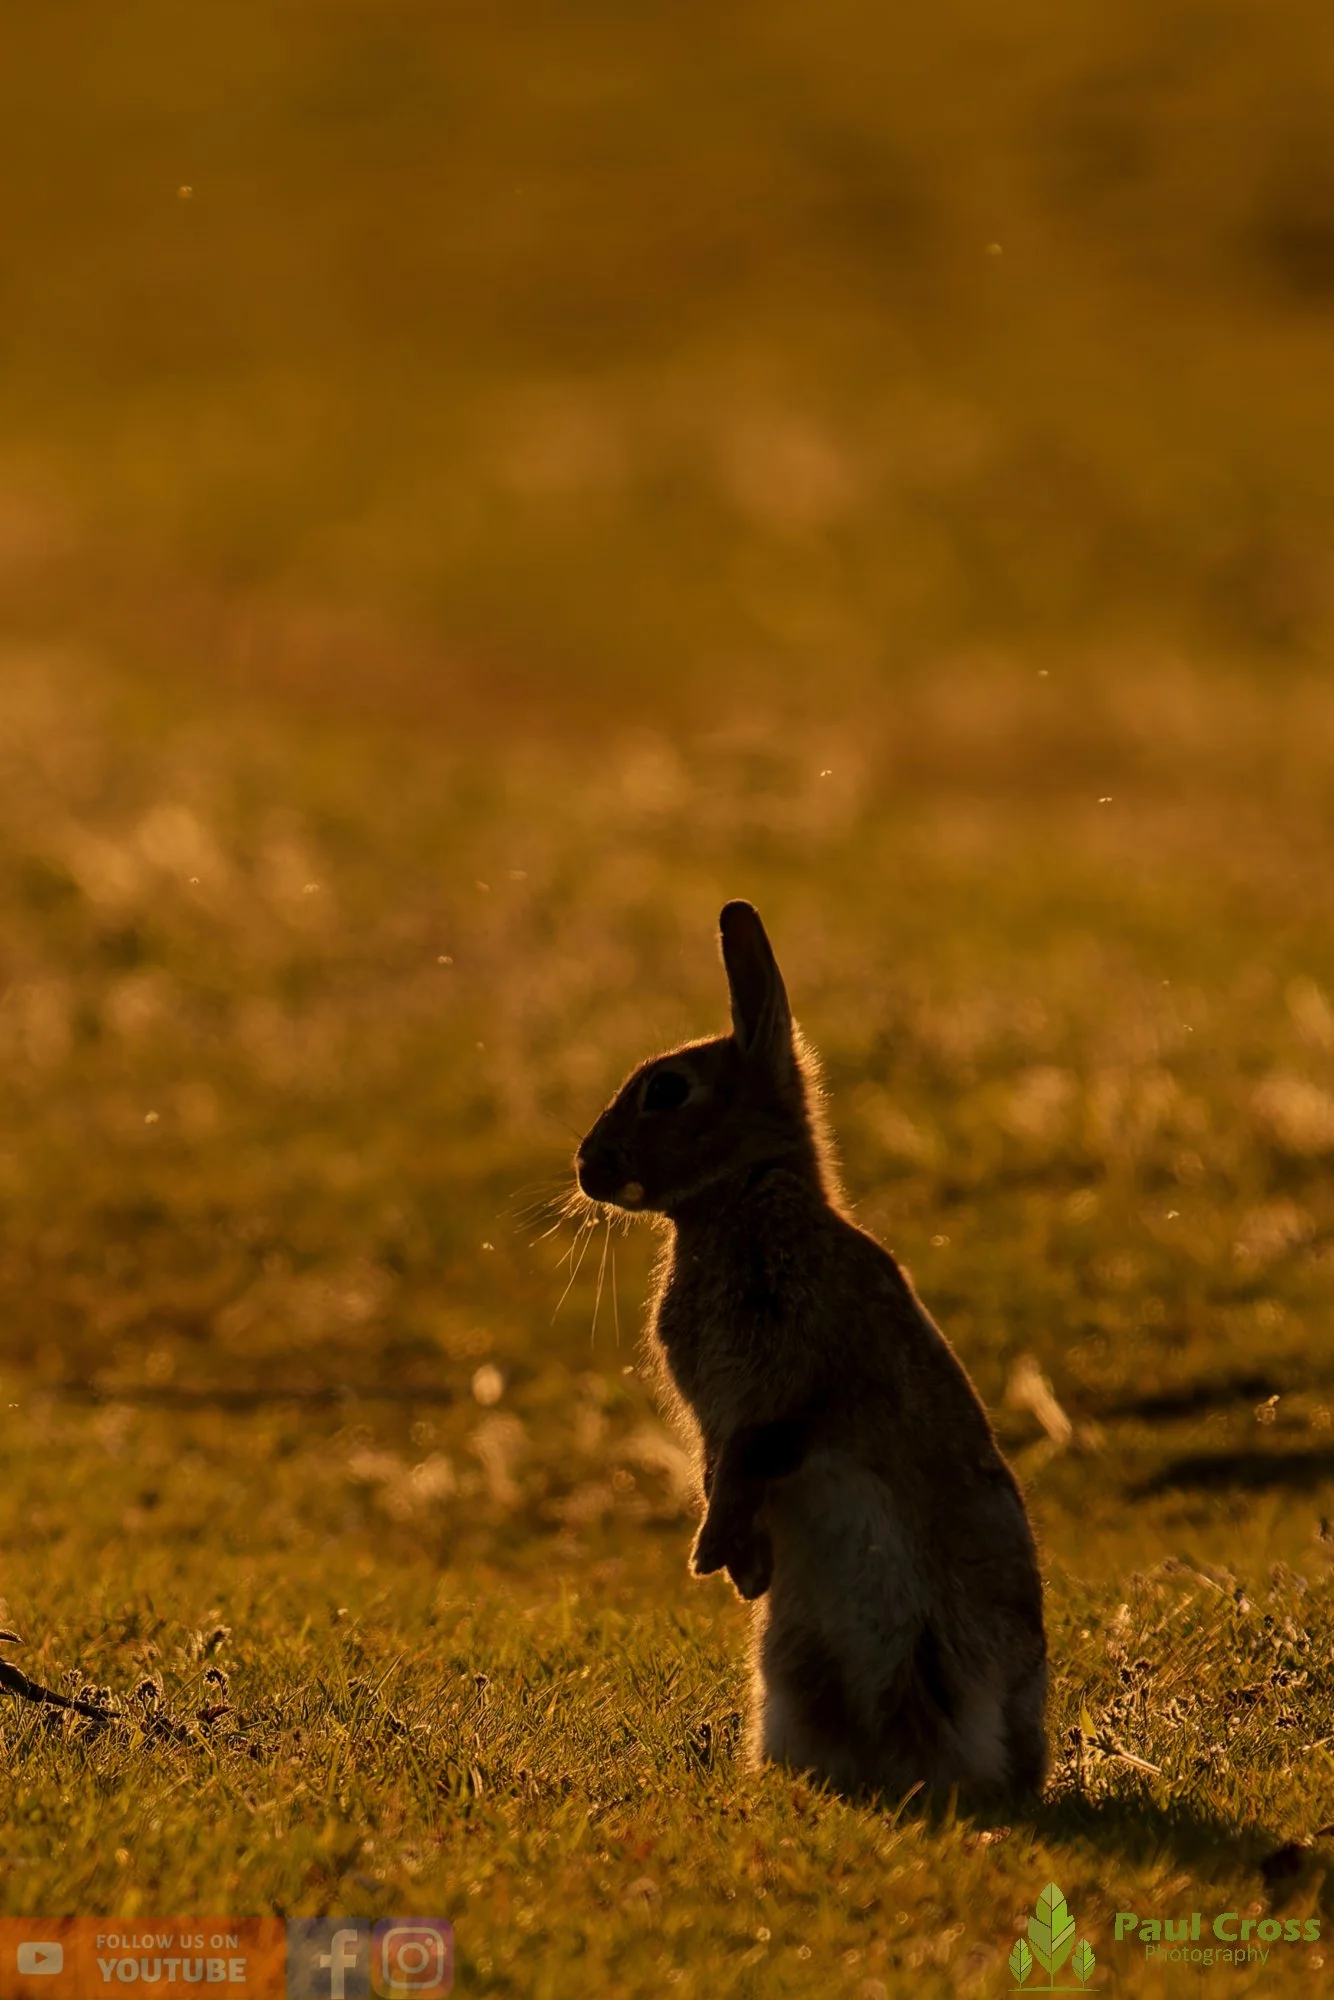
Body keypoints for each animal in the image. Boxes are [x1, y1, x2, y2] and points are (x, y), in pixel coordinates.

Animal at [575, 900, 1047, 1803]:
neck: (741, 1198)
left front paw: (713, 1554)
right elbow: (720, 1468)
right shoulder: (719, 1415)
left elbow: (753, 1458)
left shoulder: (789, 1384)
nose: (585, 1166)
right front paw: (741, 1568)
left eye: (667, 1090)